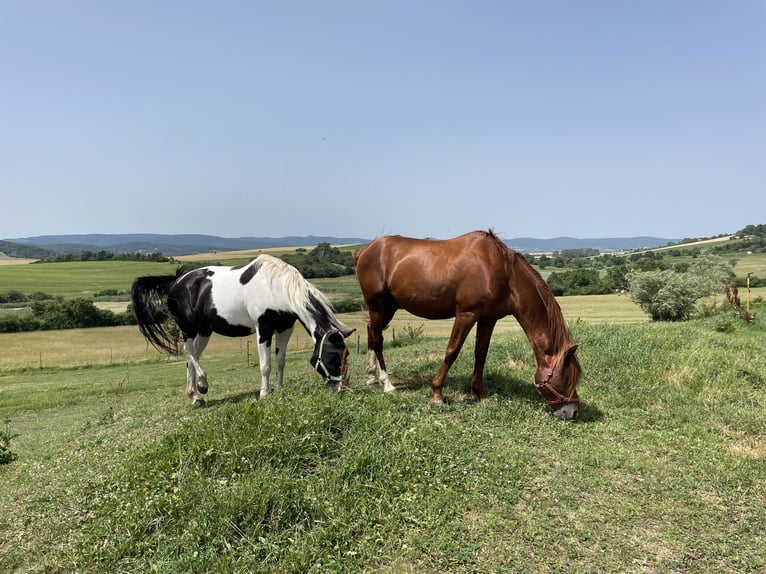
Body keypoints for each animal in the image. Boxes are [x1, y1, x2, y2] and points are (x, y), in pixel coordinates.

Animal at [132, 254, 356, 408]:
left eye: (346, 354)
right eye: (332, 356)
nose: (342, 389)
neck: (277, 287)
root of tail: (176, 281)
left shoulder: (285, 329)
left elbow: (280, 362)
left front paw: (280, 389)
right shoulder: (263, 329)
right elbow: (265, 365)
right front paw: (264, 394)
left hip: (204, 331)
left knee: (191, 357)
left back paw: (195, 396)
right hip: (188, 328)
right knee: (188, 352)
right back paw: (202, 386)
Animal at [354, 231, 584, 424]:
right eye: (566, 377)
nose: (573, 412)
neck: (502, 272)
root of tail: (364, 250)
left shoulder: (488, 319)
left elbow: (481, 354)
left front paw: (479, 393)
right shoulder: (466, 314)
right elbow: (452, 351)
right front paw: (437, 394)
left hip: (388, 308)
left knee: (371, 333)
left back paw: (371, 377)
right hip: (377, 305)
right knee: (378, 340)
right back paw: (387, 384)